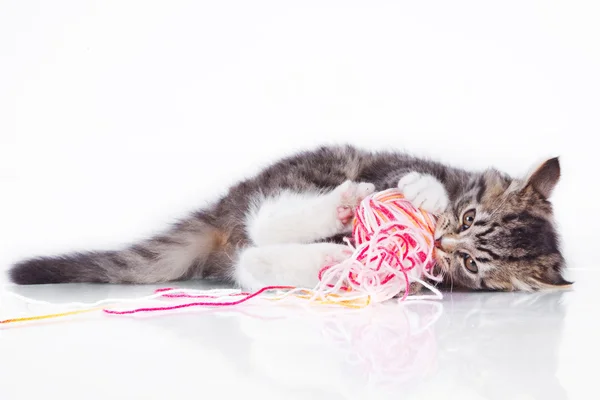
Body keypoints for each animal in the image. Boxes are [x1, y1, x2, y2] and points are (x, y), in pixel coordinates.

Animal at [9, 144, 572, 290]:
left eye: (474, 265)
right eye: (469, 216)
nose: (442, 245)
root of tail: (226, 205)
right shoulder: (399, 165)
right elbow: (422, 179)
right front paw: (425, 194)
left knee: (252, 258)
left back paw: (328, 257)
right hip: (328, 167)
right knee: (265, 223)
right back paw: (337, 218)